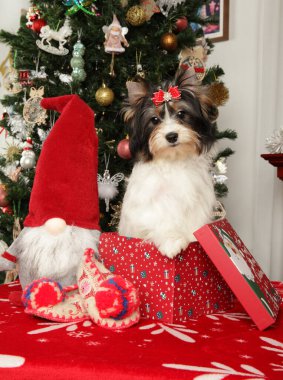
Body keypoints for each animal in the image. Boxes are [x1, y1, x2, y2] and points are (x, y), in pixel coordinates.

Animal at [118, 68, 219, 258]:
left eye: (181, 114)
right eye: (155, 120)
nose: (171, 136)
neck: (173, 159)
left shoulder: (196, 198)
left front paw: (195, 239)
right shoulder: (149, 202)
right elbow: (160, 219)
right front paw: (172, 241)